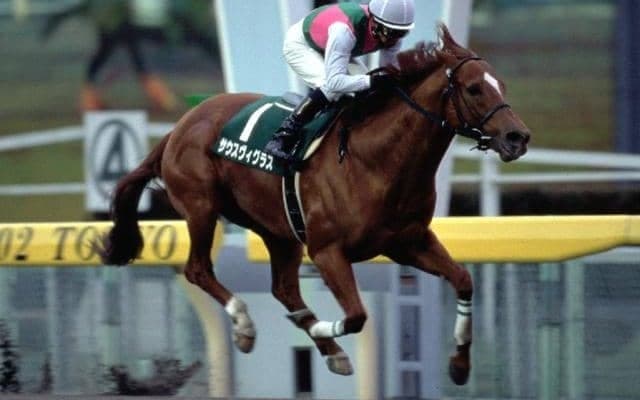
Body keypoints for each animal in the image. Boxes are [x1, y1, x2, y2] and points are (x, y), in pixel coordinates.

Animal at [99, 24, 530, 383]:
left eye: (502, 84)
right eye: (474, 88)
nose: (518, 137)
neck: (376, 159)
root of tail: (179, 127)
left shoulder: (408, 242)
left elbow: (463, 279)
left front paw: (459, 364)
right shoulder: (327, 251)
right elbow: (356, 316)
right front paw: (320, 331)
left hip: (279, 231)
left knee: (283, 288)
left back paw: (325, 346)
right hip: (201, 207)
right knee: (198, 269)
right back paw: (246, 326)